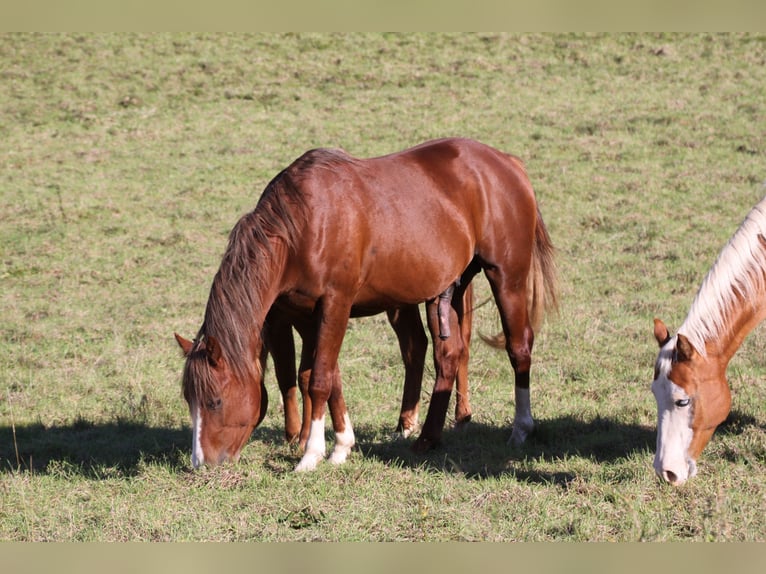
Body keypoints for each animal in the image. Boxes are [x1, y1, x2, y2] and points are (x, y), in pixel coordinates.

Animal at [174, 138, 560, 472]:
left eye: (215, 401)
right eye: (190, 401)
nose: (201, 463)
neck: (304, 225)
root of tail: (507, 163)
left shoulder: (336, 304)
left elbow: (319, 381)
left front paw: (311, 456)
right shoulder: (308, 314)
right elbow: (322, 376)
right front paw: (342, 445)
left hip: (506, 277)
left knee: (518, 347)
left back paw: (521, 429)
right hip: (449, 288)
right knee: (448, 357)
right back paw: (427, 438)